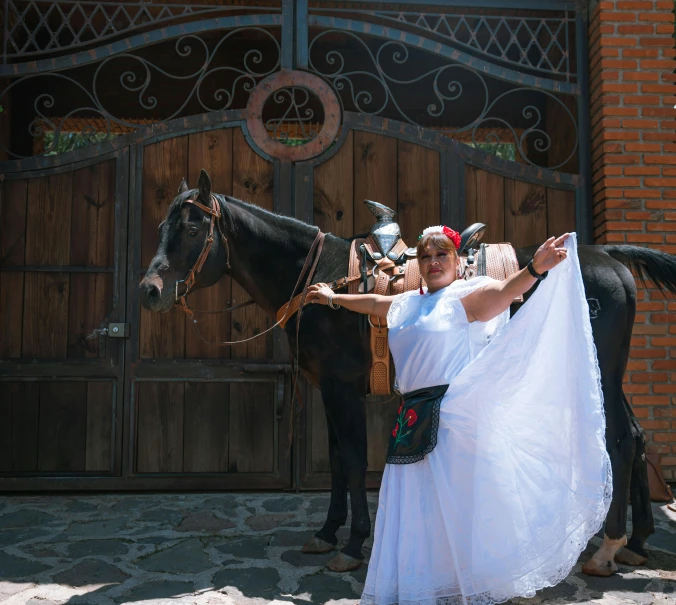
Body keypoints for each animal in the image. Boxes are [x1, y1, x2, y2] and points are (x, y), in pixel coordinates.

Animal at [139, 171, 676, 576]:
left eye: (191, 229)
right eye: (163, 226)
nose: (149, 290)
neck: (323, 279)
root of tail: (607, 256)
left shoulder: (342, 390)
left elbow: (355, 460)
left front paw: (353, 544)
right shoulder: (330, 392)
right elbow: (338, 460)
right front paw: (327, 532)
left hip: (602, 372)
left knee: (620, 439)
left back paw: (608, 547)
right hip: (612, 376)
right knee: (636, 436)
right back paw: (633, 542)